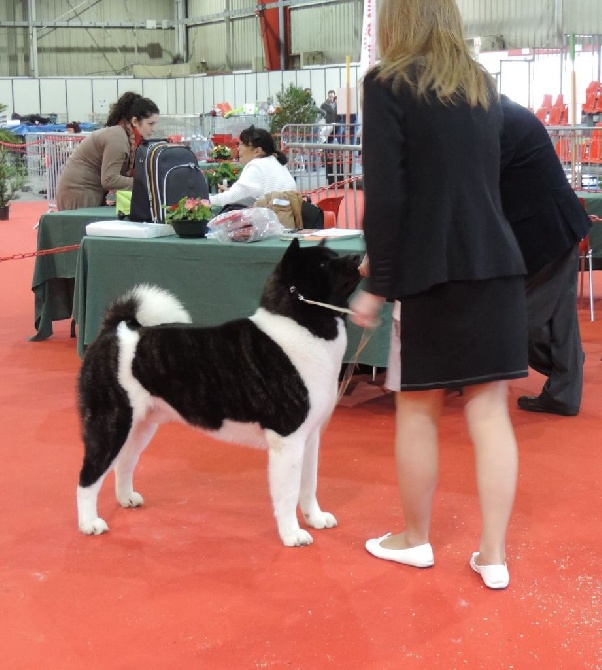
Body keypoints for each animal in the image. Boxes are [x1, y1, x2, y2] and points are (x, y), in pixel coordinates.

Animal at [74, 239, 356, 548]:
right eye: (323, 264)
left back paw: (126, 498)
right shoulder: (288, 441)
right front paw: (292, 534)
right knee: (88, 477)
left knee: (123, 462)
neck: (301, 325)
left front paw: (315, 518)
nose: (357, 258)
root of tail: (115, 330)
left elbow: (309, 484)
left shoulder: (310, 437)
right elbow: (288, 493)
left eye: (333, 256)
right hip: (110, 423)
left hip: (141, 425)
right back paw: (89, 523)